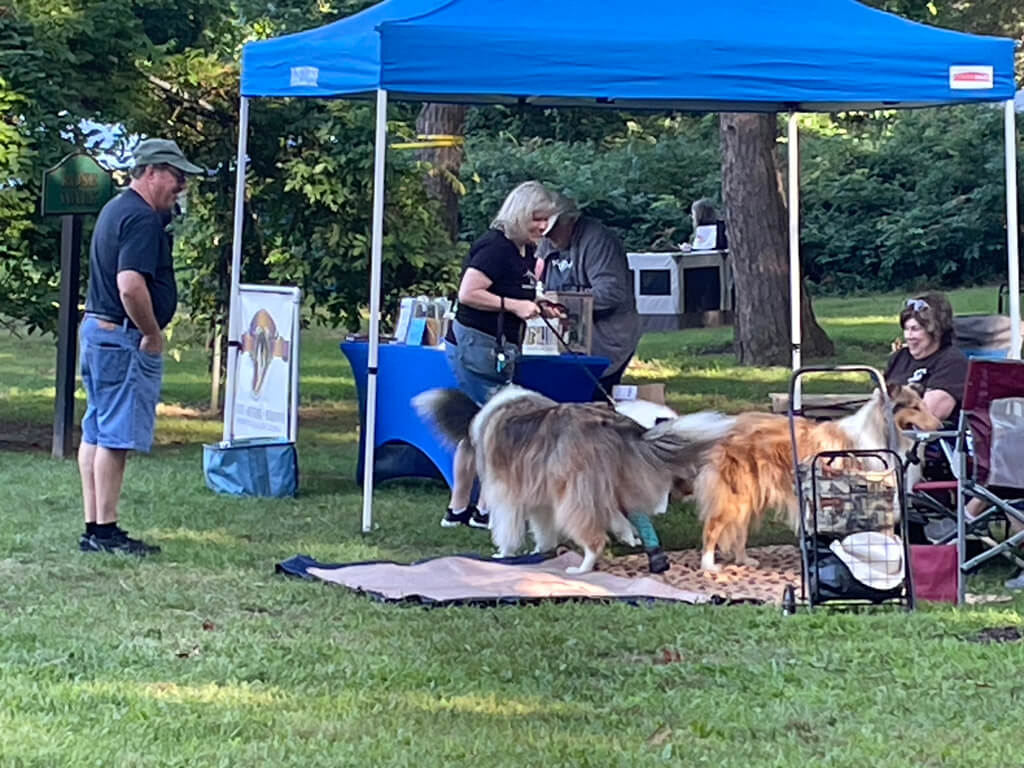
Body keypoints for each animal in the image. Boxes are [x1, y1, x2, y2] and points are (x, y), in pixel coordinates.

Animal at [411, 387, 733, 573]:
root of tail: (608, 424)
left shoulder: (507, 494)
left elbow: (507, 529)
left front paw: (504, 554)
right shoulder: (545, 497)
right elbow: (548, 528)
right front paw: (542, 551)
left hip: (573, 494)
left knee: (594, 539)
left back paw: (581, 568)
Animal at [696, 385, 942, 573]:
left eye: (923, 405)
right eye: (914, 407)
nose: (941, 427)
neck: (881, 431)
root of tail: (727, 428)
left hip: (752, 495)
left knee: (740, 529)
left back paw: (744, 560)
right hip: (736, 495)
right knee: (713, 527)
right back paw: (709, 566)